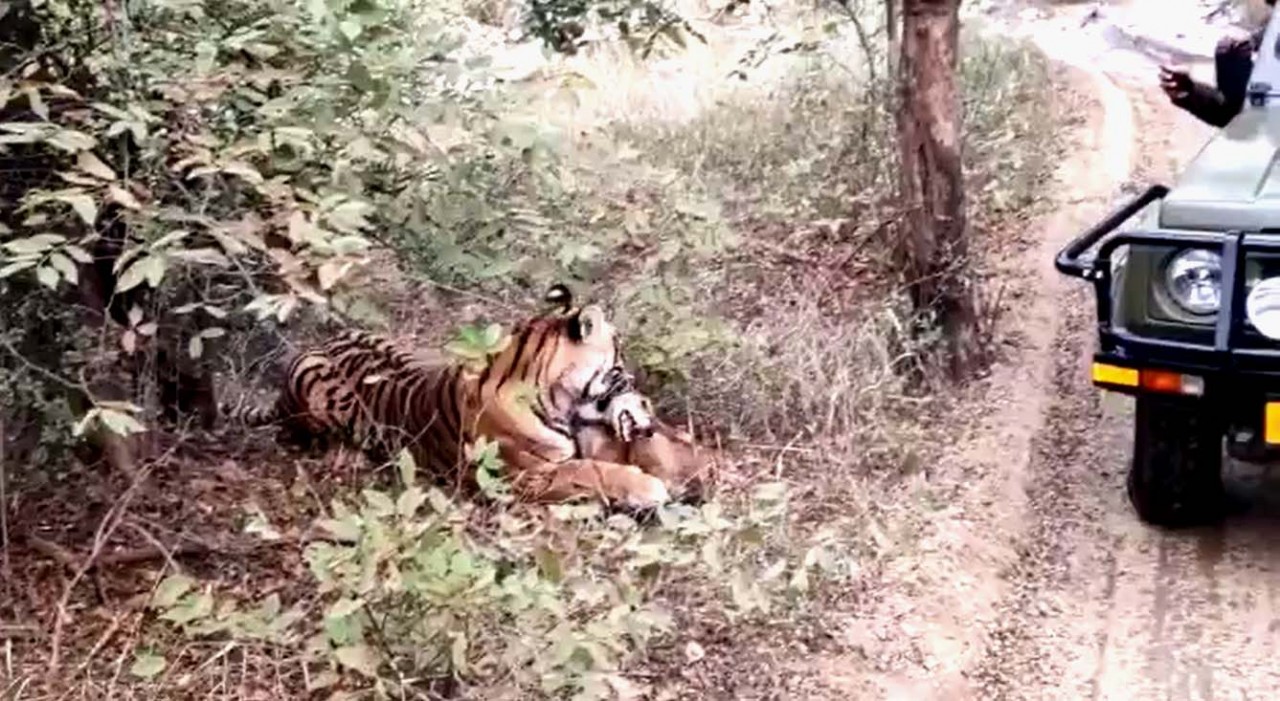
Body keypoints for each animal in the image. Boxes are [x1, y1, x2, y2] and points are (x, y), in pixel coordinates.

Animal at [222, 285, 670, 509]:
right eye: (621, 368)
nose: (648, 409)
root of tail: (316, 346)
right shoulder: (523, 476)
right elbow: (591, 471)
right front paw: (648, 487)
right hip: (317, 392)